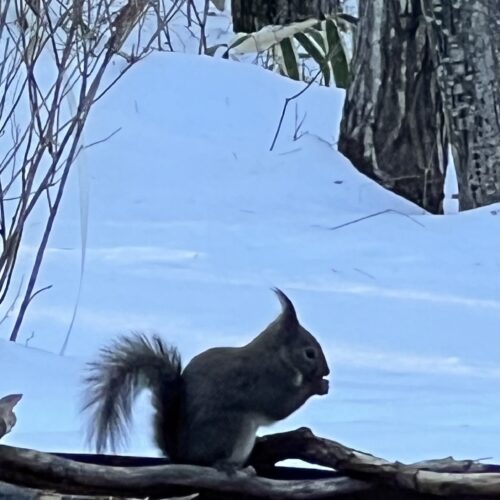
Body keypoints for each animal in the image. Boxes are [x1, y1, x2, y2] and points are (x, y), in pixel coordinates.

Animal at [82, 290, 330, 468]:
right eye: (310, 353)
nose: (326, 371)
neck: (276, 356)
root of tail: (183, 456)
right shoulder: (266, 380)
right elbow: (279, 406)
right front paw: (316, 385)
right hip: (232, 427)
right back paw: (226, 465)